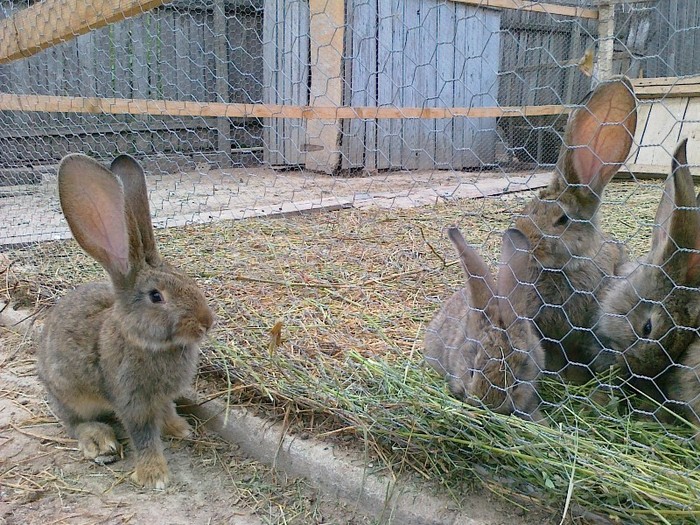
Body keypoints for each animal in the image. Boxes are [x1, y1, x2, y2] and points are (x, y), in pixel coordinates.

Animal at [37, 154, 213, 490]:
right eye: (156, 296)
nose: (206, 323)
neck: (145, 342)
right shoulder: (133, 402)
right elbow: (144, 437)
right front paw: (154, 476)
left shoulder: (162, 398)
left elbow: (167, 411)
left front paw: (180, 429)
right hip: (69, 395)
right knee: (74, 423)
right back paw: (98, 442)